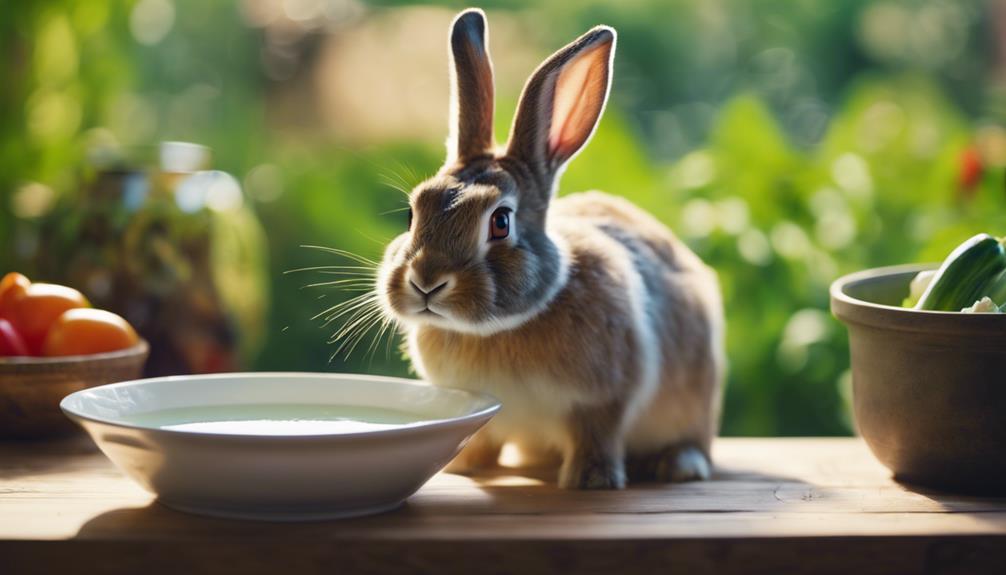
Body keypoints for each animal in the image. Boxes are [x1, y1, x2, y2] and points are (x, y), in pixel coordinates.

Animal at [376, 8, 724, 489]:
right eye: (413, 213)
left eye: (500, 222)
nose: (426, 282)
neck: (497, 330)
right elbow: (481, 437)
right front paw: (462, 466)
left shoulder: (605, 399)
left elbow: (596, 433)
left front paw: (591, 479)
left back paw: (680, 464)